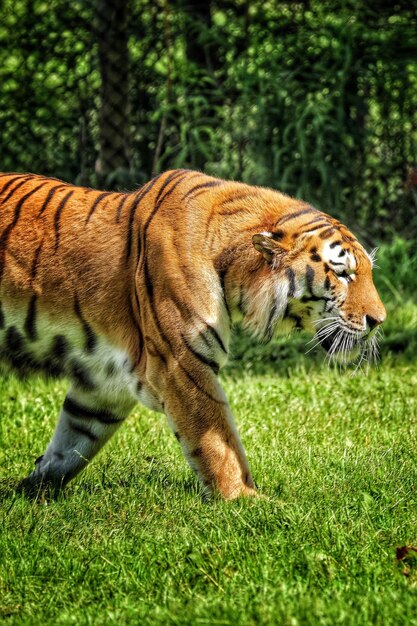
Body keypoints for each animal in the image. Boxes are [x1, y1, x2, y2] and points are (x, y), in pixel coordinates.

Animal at [0, 169, 384, 498]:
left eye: (366, 271)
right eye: (343, 273)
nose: (378, 320)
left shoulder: (103, 383)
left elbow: (71, 443)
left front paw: (30, 492)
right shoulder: (181, 364)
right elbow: (218, 442)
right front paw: (247, 502)